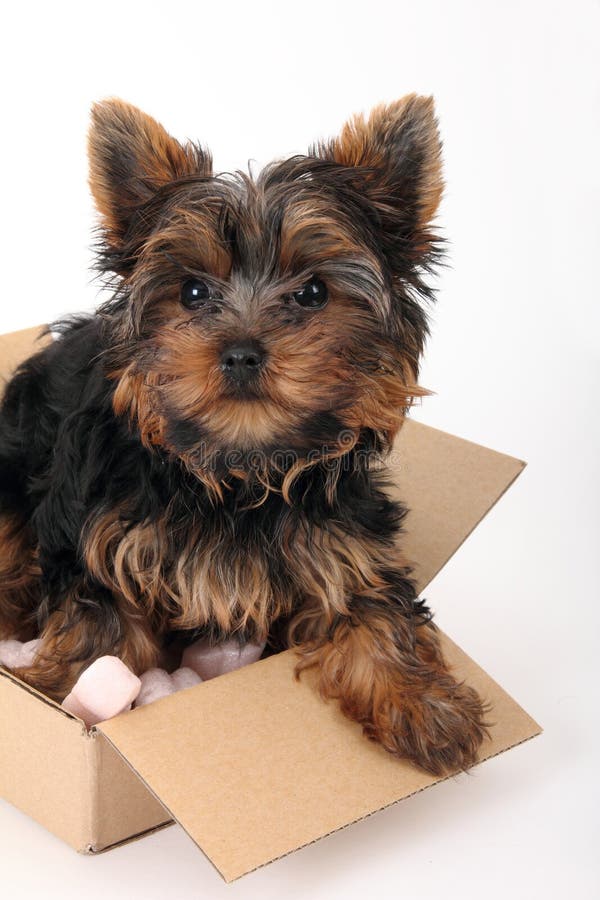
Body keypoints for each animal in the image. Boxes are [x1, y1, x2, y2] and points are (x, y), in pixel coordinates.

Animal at [0, 96, 488, 772]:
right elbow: (101, 630)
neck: (241, 466)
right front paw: (65, 694)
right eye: (192, 290)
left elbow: (370, 605)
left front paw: (424, 703)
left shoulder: (341, 541)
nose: (240, 352)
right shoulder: (95, 539)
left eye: (313, 292)